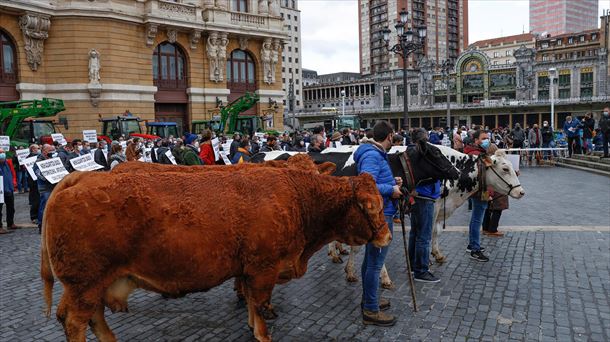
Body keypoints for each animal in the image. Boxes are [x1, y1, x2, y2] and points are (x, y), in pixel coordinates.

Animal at [40, 167, 390, 340]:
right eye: (373, 206)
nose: (387, 235)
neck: (298, 198)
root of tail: (77, 178)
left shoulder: (248, 269)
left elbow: (250, 303)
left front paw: (250, 326)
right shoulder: (263, 269)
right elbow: (259, 305)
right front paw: (262, 334)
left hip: (89, 286)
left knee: (90, 318)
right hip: (86, 284)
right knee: (75, 321)